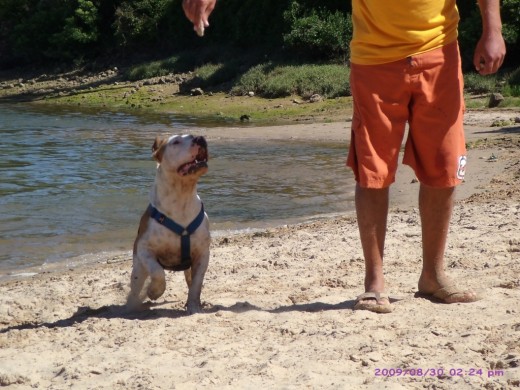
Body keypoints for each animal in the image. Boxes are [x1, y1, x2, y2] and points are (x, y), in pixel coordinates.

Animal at [128, 134, 211, 314]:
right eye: (176, 142)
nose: (200, 138)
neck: (181, 197)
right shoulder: (144, 249)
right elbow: (158, 272)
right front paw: (154, 291)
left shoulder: (202, 254)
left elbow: (196, 283)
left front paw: (194, 306)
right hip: (138, 269)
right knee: (135, 288)